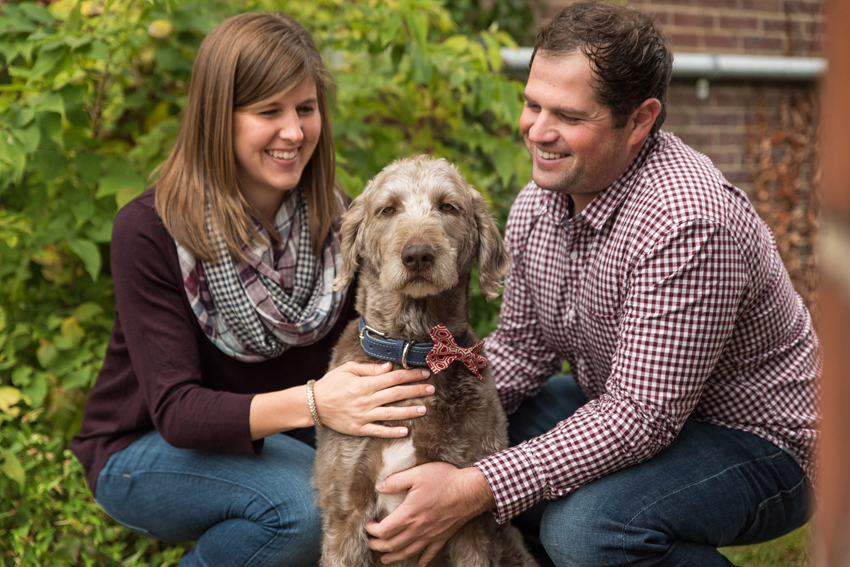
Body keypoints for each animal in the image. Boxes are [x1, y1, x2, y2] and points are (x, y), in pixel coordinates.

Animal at [314, 155, 532, 567]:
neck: (415, 349)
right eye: (387, 209)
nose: (417, 255)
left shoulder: (468, 518)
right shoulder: (345, 511)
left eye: (448, 207)